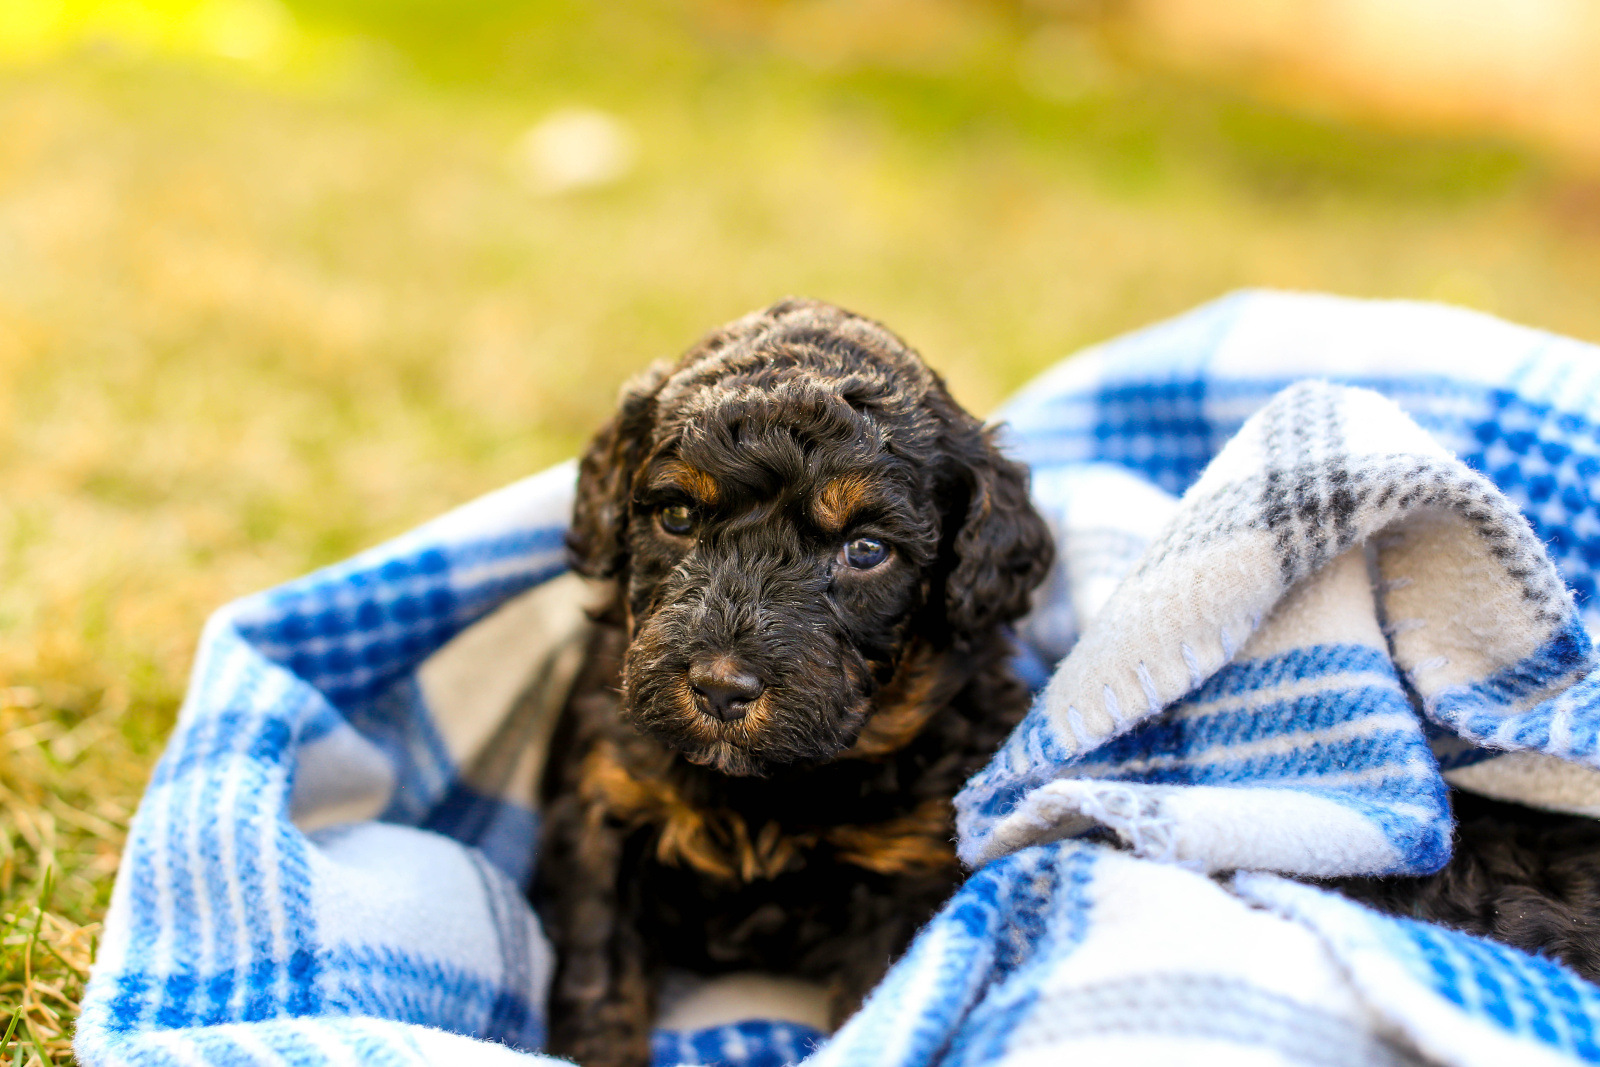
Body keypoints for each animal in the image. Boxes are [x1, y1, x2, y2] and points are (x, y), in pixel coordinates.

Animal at [537, 299, 1056, 1067]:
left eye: (866, 549)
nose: (721, 688)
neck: (772, 788)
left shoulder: (908, 865)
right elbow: (600, 973)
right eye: (677, 516)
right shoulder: (604, 806)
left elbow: (876, 1002)